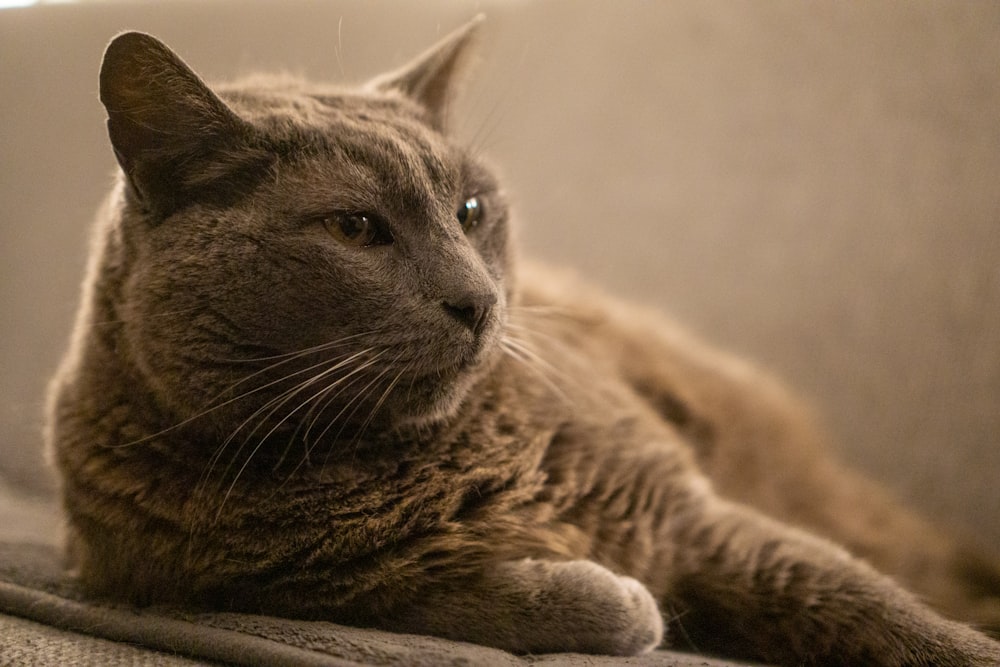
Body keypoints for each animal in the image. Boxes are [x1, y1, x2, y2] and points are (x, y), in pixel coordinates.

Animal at [47, 15, 1000, 667]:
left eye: (471, 210)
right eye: (354, 228)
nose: (477, 299)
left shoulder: (693, 511)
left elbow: (865, 601)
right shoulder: (264, 585)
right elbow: (456, 599)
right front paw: (618, 600)